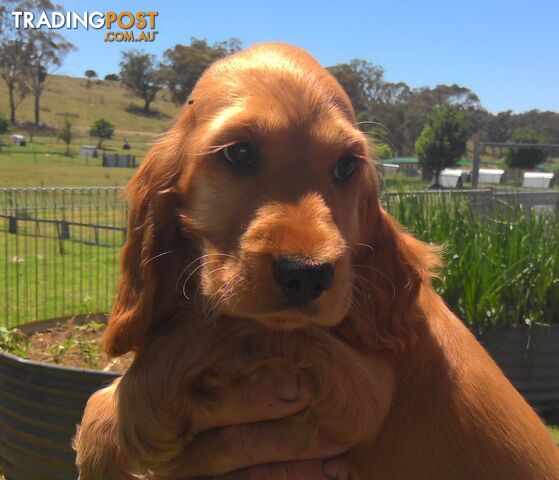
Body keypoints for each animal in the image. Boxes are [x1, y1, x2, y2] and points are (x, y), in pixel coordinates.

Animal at [74, 42, 559, 480]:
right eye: (239, 153)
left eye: (346, 167)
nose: (306, 277)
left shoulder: (365, 392)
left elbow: (221, 329)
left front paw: (122, 423)